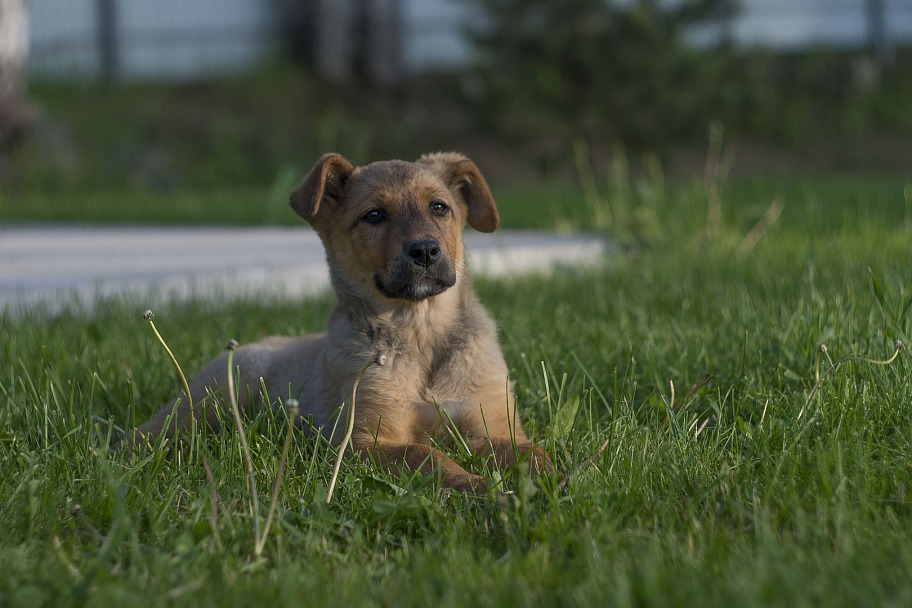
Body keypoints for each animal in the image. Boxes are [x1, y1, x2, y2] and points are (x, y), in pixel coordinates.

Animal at [133, 152, 552, 494]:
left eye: (439, 207)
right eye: (374, 215)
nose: (425, 251)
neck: (421, 334)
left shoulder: (493, 424)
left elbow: (531, 451)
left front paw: (552, 482)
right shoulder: (362, 440)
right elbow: (424, 454)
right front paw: (479, 486)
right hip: (209, 400)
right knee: (148, 434)